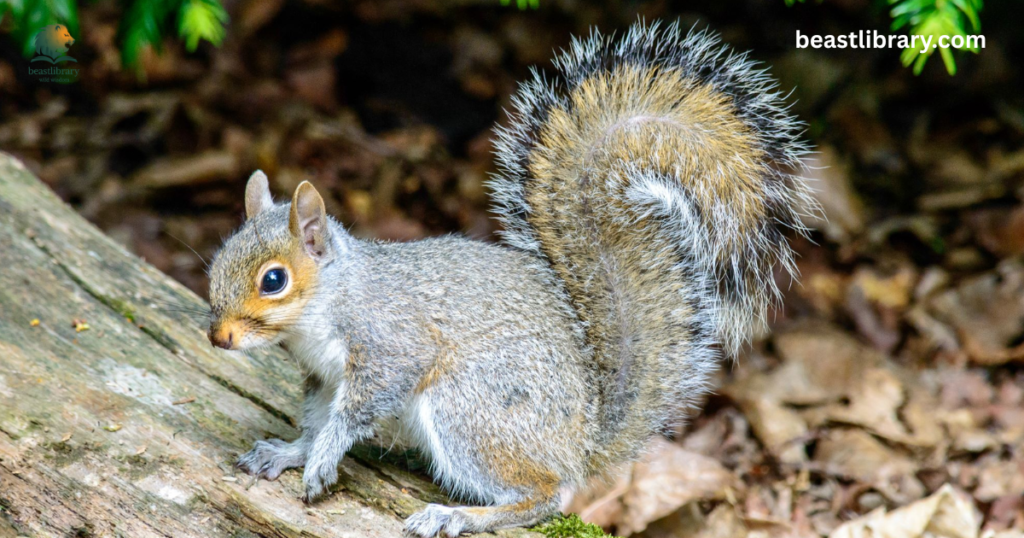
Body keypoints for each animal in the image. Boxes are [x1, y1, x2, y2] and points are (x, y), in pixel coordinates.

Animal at [209, 20, 813, 538]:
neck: (327, 304)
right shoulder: (322, 377)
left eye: (274, 280)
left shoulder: (389, 347)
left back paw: (456, 515)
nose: (218, 338)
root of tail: (582, 444)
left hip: (470, 407)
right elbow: (314, 421)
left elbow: (354, 413)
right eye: (216, 262)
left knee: (544, 496)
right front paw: (291, 452)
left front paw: (322, 461)